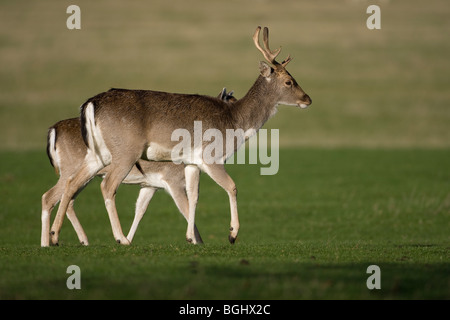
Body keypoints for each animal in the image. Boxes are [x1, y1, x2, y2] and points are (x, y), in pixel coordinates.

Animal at [41, 89, 236, 246]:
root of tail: (53, 130)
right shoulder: (173, 180)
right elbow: (186, 209)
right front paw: (197, 241)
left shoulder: (150, 185)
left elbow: (140, 210)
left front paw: (128, 238)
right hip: (70, 169)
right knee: (51, 196)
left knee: (66, 197)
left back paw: (69, 241)